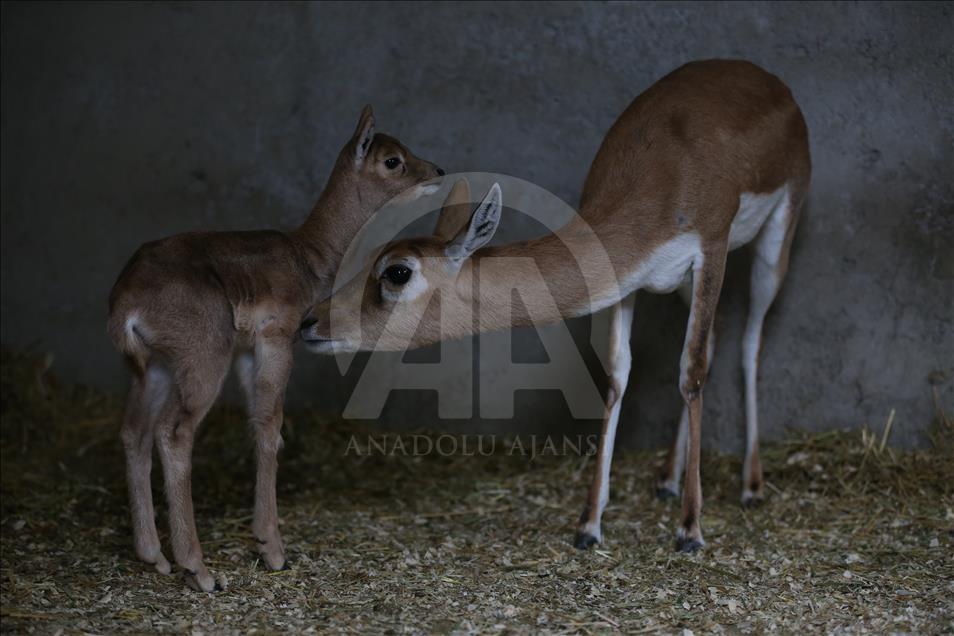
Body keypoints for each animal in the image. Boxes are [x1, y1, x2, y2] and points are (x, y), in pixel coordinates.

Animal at [108, 105, 442, 592]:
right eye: (393, 159)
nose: (437, 170)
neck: (312, 257)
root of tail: (124, 302)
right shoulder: (277, 335)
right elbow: (271, 424)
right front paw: (272, 549)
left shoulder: (248, 350)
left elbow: (258, 421)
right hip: (202, 356)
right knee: (173, 432)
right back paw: (198, 569)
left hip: (156, 366)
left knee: (135, 430)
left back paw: (155, 556)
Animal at [302, 62, 808, 556]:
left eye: (398, 271)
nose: (310, 321)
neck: (663, 181)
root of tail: (768, 79)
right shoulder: (625, 279)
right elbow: (618, 375)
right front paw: (589, 525)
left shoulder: (711, 251)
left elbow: (691, 371)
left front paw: (689, 530)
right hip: (683, 284)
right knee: (718, 336)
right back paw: (666, 478)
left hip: (774, 241)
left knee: (749, 340)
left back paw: (751, 485)